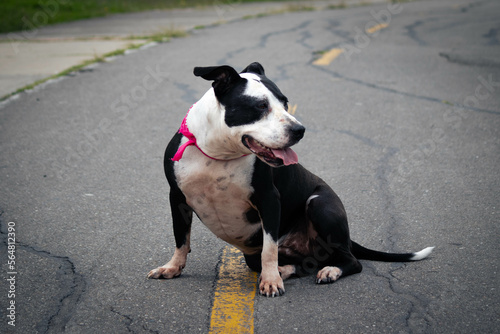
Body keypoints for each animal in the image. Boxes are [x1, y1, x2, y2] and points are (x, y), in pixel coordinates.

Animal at [148, 62, 434, 298]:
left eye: (285, 103)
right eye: (261, 106)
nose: (300, 130)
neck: (219, 155)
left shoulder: (269, 199)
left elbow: (269, 249)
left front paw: (271, 281)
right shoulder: (177, 198)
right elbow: (181, 238)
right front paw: (172, 267)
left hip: (319, 204)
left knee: (350, 260)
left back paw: (327, 271)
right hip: (258, 252)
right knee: (299, 264)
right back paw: (288, 270)